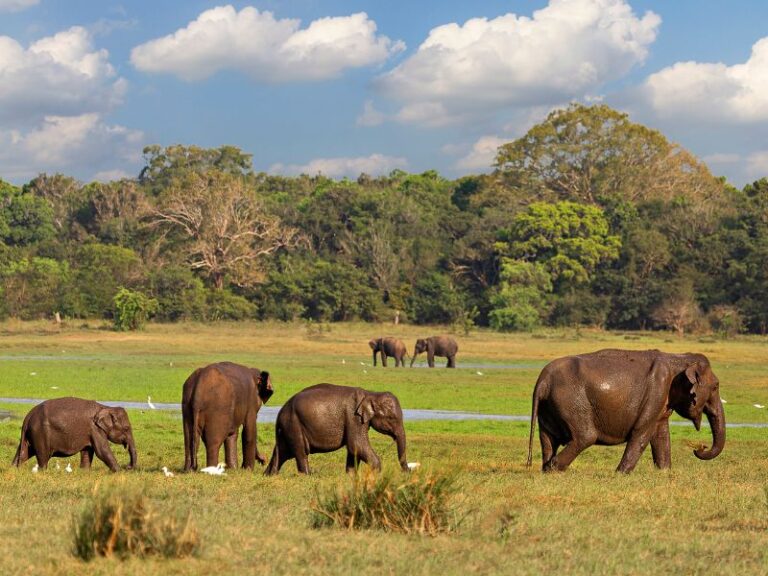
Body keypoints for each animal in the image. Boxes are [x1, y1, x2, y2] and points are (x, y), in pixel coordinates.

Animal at [265, 383, 408, 475]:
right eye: (391, 418)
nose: (407, 473)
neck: (370, 393)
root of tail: (280, 412)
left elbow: (354, 449)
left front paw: (350, 476)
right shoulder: (353, 418)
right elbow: (357, 445)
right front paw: (377, 473)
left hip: (287, 428)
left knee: (282, 453)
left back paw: (269, 474)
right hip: (294, 425)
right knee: (300, 452)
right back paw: (308, 475)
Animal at [527, 349, 725, 473]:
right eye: (716, 387)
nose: (700, 447)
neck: (678, 358)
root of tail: (542, 381)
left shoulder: (661, 400)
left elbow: (660, 434)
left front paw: (664, 472)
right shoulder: (656, 392)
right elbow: (642, 432)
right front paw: (620, 474)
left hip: (548, 407)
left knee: (548, 438)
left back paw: (546, 469)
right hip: (571, 402)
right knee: (585, 437)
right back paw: (554, 468)